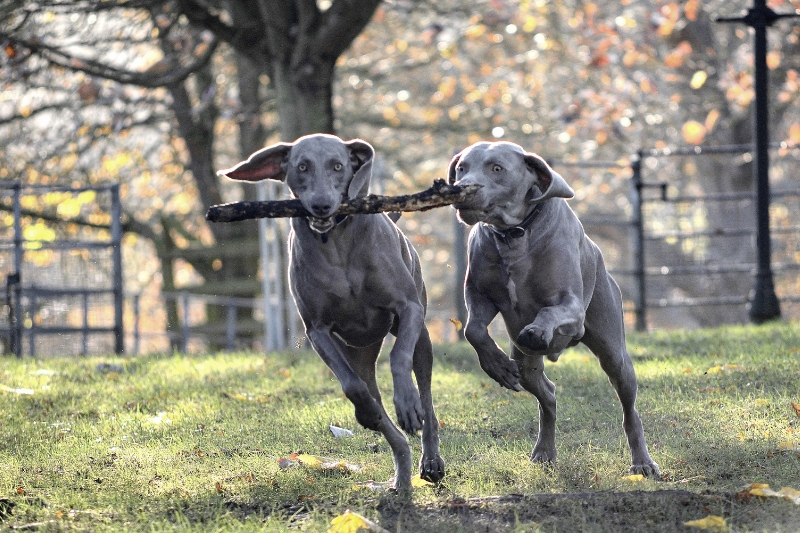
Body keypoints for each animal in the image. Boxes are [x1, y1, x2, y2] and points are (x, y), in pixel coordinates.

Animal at [216, 133, 446, 490]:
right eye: (302, 167)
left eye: (338, 166)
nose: (322, 205)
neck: (336, 242)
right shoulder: (317, 330)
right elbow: (352, 387)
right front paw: (368, 412)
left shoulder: (407, 308)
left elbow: (399, 358)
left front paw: (407, 402)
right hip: (360, 354)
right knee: (376, 404)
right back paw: (399, 472)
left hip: (420, 334)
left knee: (427, 396)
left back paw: (430, 459)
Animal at [450, 140, 664, 474]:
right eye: (462, 168)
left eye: (497, 168)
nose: (461, 189)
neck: (513, 235)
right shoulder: (479, 294)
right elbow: (473, 329)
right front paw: (496, 365)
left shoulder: (571, 307)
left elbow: (550, 311)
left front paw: (537, 330)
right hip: (526, 368)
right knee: (547, 394)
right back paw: (544, 451)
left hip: (614, 353)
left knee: (629, 410)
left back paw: (642, 462)